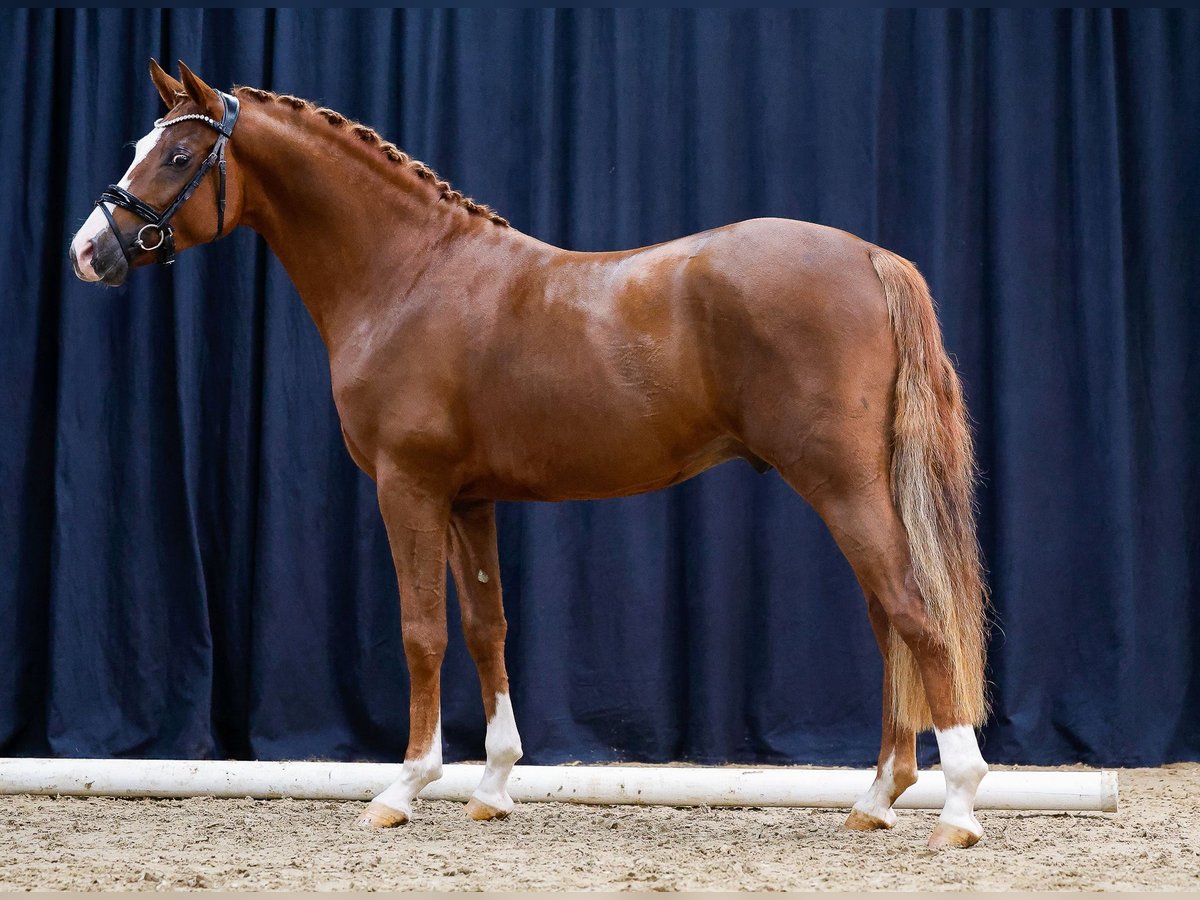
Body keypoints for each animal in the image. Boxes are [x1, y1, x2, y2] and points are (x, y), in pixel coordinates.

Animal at [65, 60, 988, 849]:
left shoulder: (409, 487)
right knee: (888, 620)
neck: (409, 277)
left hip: (841, 484)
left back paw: (960, 807)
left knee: (915, 612)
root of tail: (870, 255)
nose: (86, 251)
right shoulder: (470, 500)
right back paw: (877, 796)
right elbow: (486, 628)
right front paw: (493, 786)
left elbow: (423, 632)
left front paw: (403, 788)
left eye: (178, 154)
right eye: (143, 146)